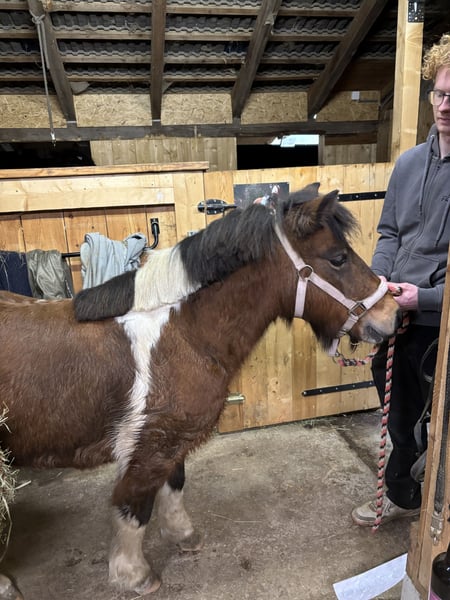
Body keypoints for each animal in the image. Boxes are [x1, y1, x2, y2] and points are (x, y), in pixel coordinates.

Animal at [0, 183, 400, 596]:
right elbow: (134, 506)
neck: (182, 333)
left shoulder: (171, 439)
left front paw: (182, 535)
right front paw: (134, 575)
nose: (392, 315)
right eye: (338, 259)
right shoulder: (150, 445)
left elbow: (173, 485)